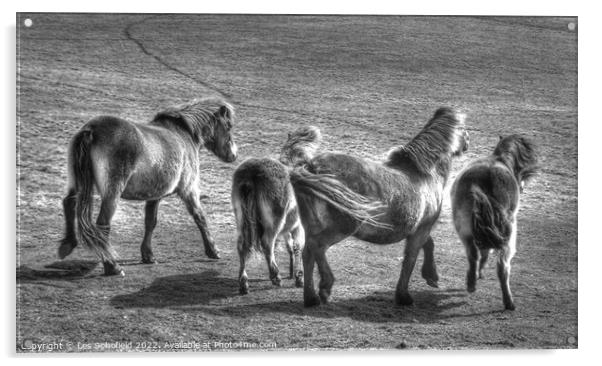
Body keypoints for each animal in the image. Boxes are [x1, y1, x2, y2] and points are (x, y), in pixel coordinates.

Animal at [58, 96, 237, 274]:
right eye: (228, 126)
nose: (233, 155)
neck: (183, 134)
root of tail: (91, 130)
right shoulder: (188, 189)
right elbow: (200, 217)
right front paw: (213, 250)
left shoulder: (154, 195)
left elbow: (150, 222)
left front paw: (148, 255)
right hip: (112, 194)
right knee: (103, 224)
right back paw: (112, 266)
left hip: (77, 183)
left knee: (69, 203)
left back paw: (67, 245)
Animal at [231, 126, 324, 294]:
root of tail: (251, 174)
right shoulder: (299, 227)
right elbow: (298, 247)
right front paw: (299, 278)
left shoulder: (289, 228)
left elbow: (290, 247)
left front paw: (294, 273)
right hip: (274, 222)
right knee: (267, 243)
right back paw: (275, 276)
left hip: (242, 220)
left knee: (242, 245)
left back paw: (244, 283)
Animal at [290, 107, 468, 308]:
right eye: (464, 129)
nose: (467, 143)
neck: (423, 174)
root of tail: (310, 167)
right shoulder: (421, 229)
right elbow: (410, 260)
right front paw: (404, 296)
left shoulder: (419, 229)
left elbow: (428, 245)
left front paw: (431, 277)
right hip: (342, 227)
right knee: (317, 247)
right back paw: (325, 287)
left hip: (314, 226)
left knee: (308, 254)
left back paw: (311, 298)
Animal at [448, 133, 536, 310]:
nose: (522, 187)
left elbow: (483, 252)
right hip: (506, 236)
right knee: (500, 266)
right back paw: (505, 300)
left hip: (468, 231)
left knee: (476, 256)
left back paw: (475, 284)